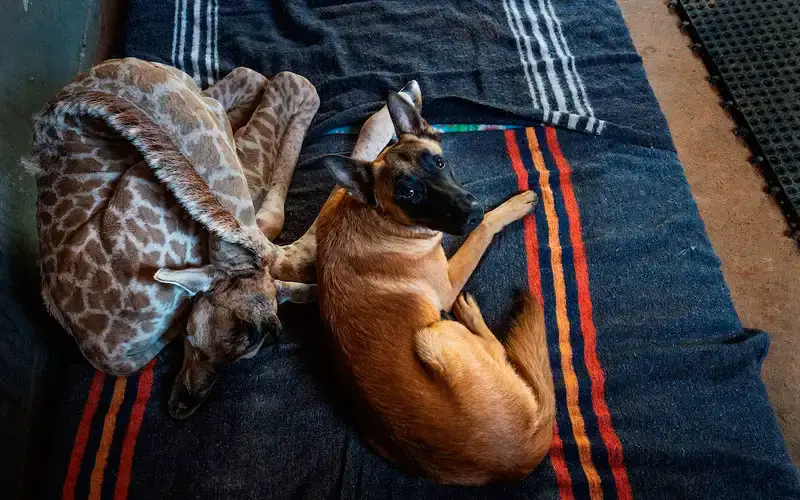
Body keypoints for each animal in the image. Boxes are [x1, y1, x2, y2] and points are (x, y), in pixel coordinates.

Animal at [316, 91, 552, 484]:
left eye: (439, 163)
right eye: (409, 192)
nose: (473, 209)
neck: (378, 217)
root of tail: (517, 458)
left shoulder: (336, 200)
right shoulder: (449, 279)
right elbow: (482, 231)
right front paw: (506, 210)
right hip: (436, 335)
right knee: (496, 349)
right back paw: (471, 316)